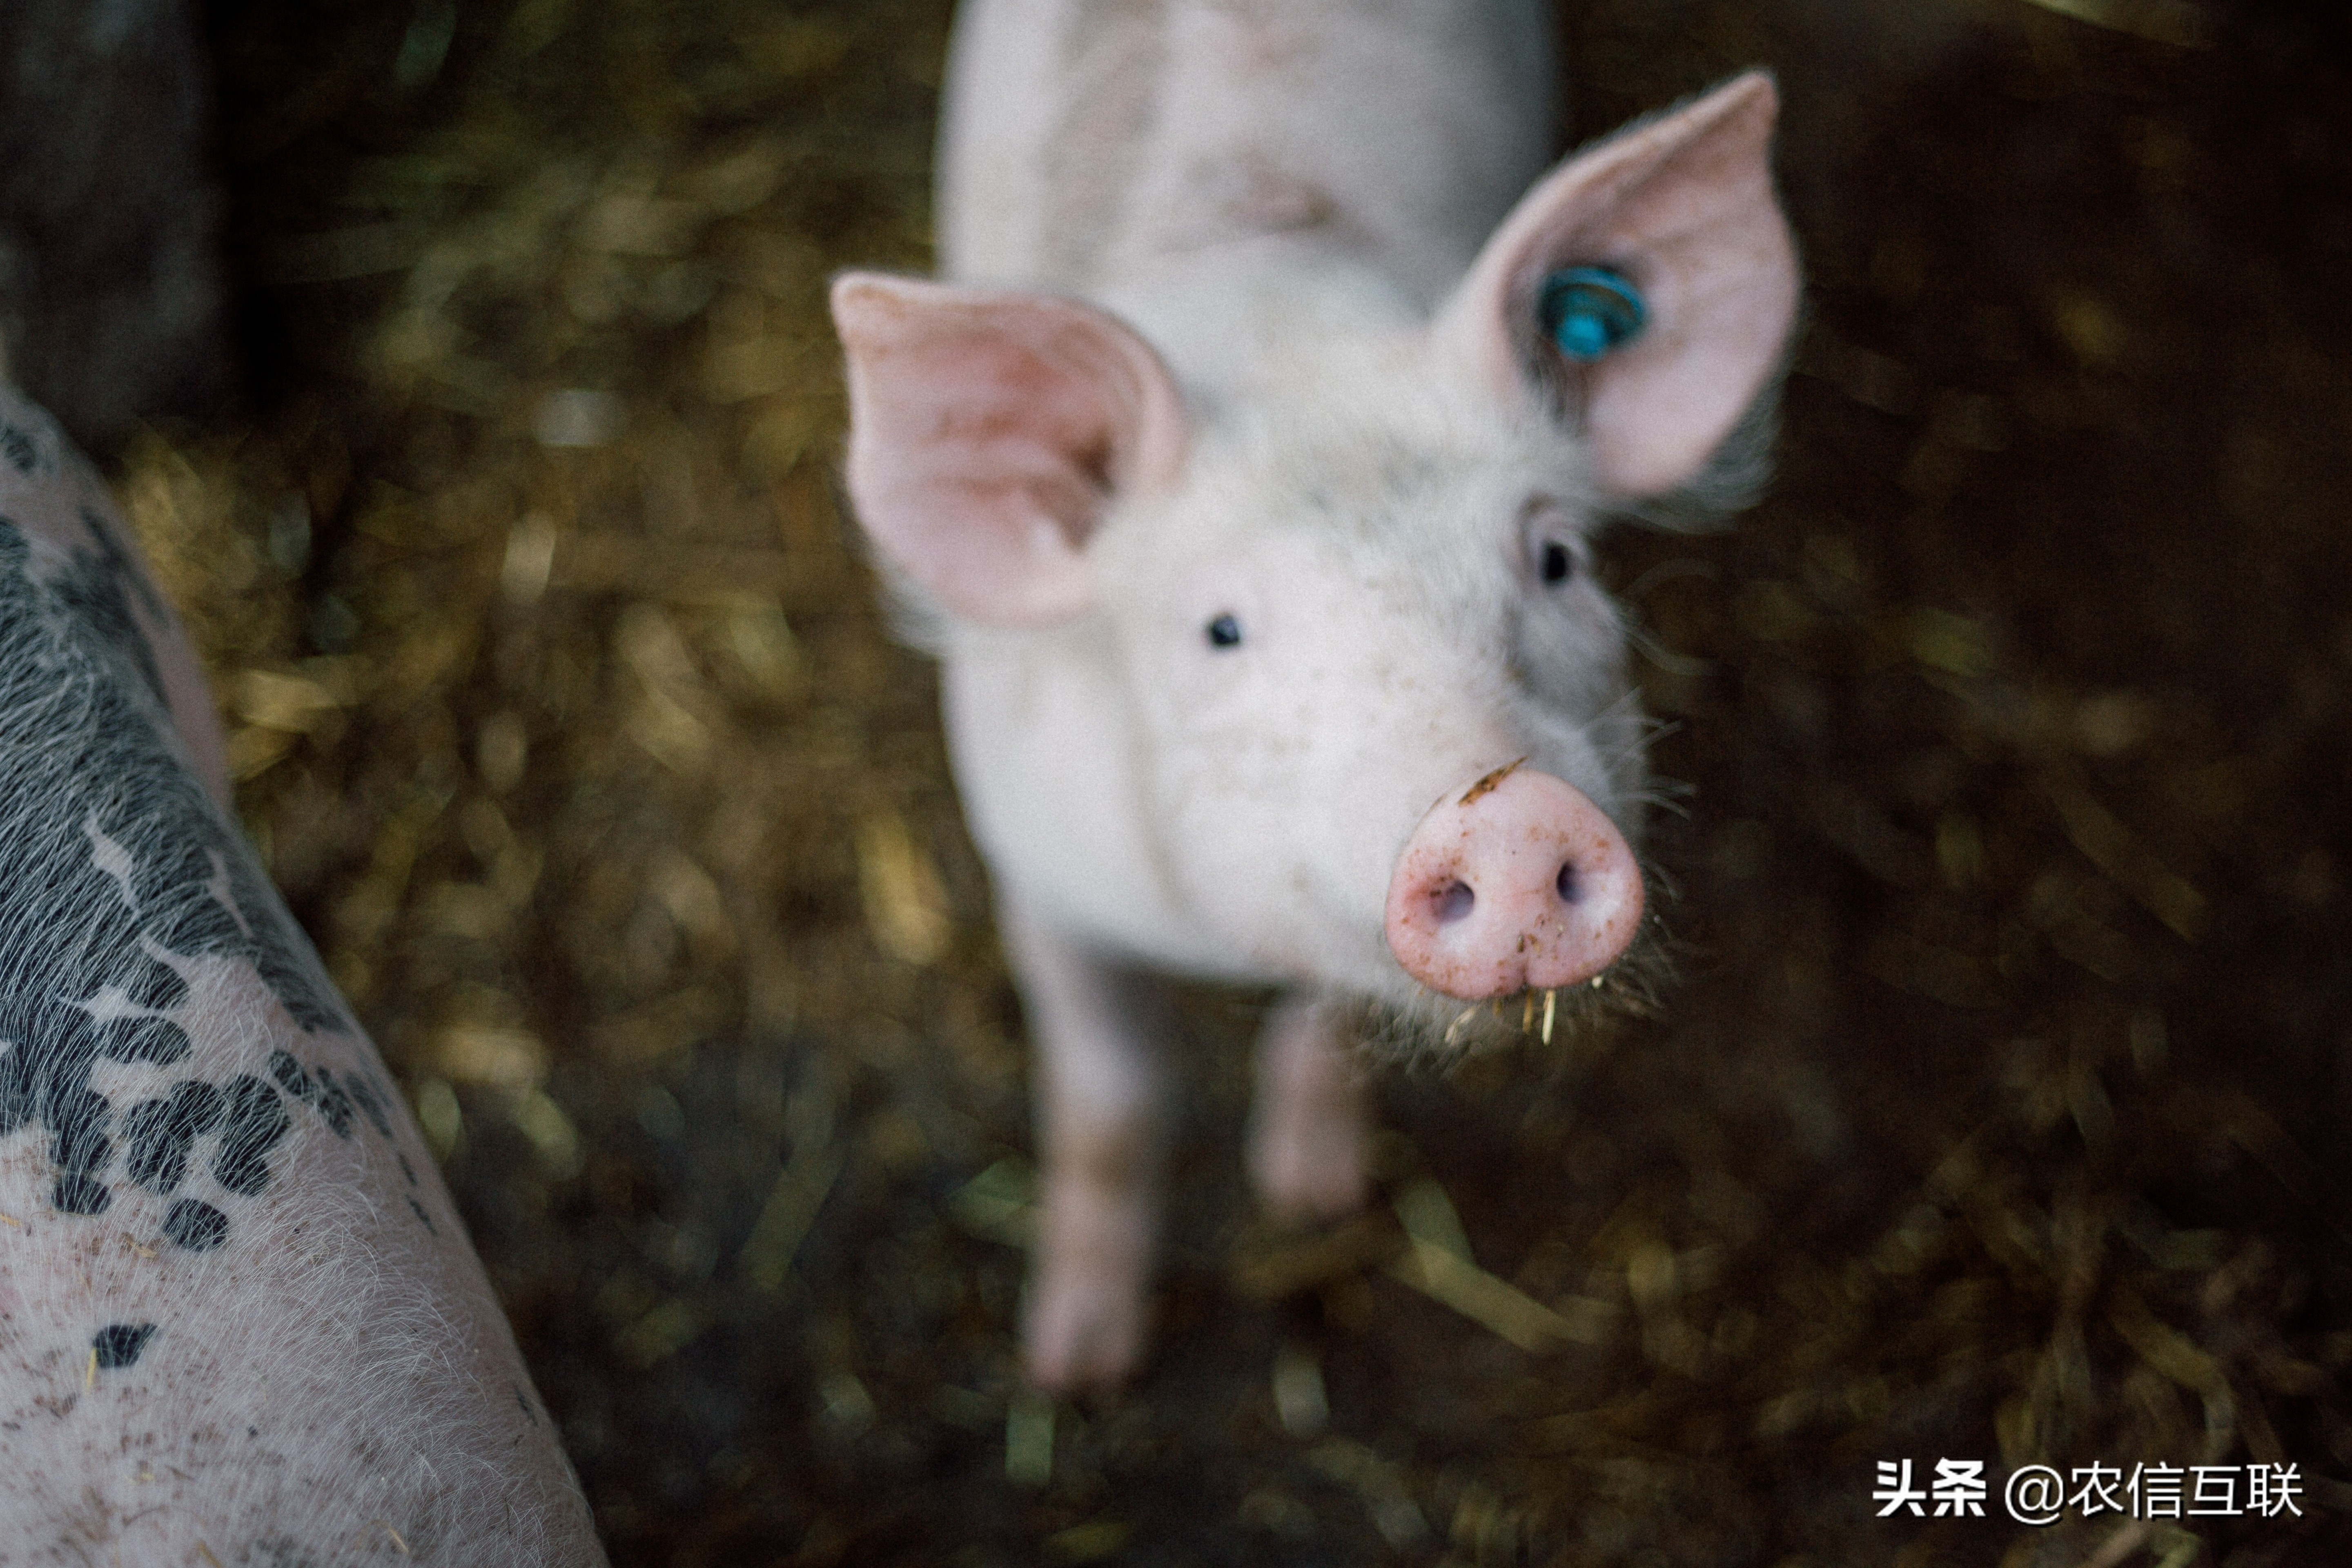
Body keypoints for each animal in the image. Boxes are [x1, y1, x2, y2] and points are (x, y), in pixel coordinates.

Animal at [828, 3, 1797, 1401]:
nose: (1511, 814)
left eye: (1557, 560)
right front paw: (1076, 1363)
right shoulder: (1032, 870)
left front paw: (1313, 1198)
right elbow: (1109, 1101)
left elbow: (1329, 1020)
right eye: (1220, 629)